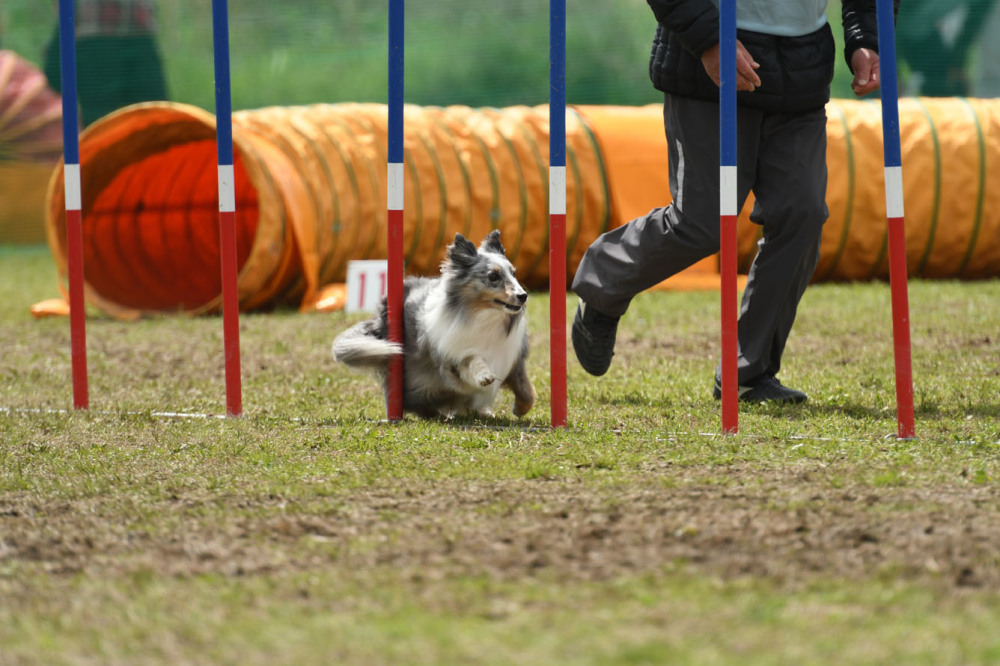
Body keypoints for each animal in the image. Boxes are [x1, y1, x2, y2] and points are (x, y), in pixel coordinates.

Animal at [332, 228, 536, 416]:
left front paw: (521, 409)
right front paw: (484, 375)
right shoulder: (450, 358)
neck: (484, 316)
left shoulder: (512, 358)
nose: (523, 296)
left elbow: (525, 389)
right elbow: (471, 358)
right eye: (493, 276)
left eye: (514, 274)